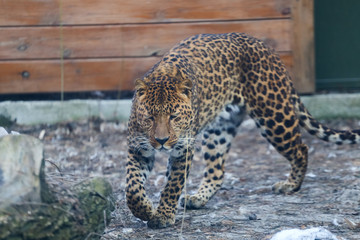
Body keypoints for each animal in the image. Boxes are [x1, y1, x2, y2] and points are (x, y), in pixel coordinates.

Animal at [126, 32, 360, 229]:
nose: (162, 141)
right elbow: (132, 188)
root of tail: (266, 47)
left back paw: (290, 185)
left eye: (174, 117)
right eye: (149, 117)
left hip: (273, 117)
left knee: (301, 148)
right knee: (217, 171)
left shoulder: (183, 148)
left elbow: (173, 184)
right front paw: (146, 209)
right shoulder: (137, 148)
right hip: (220, 130)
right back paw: (198, 198)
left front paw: (163, 215)